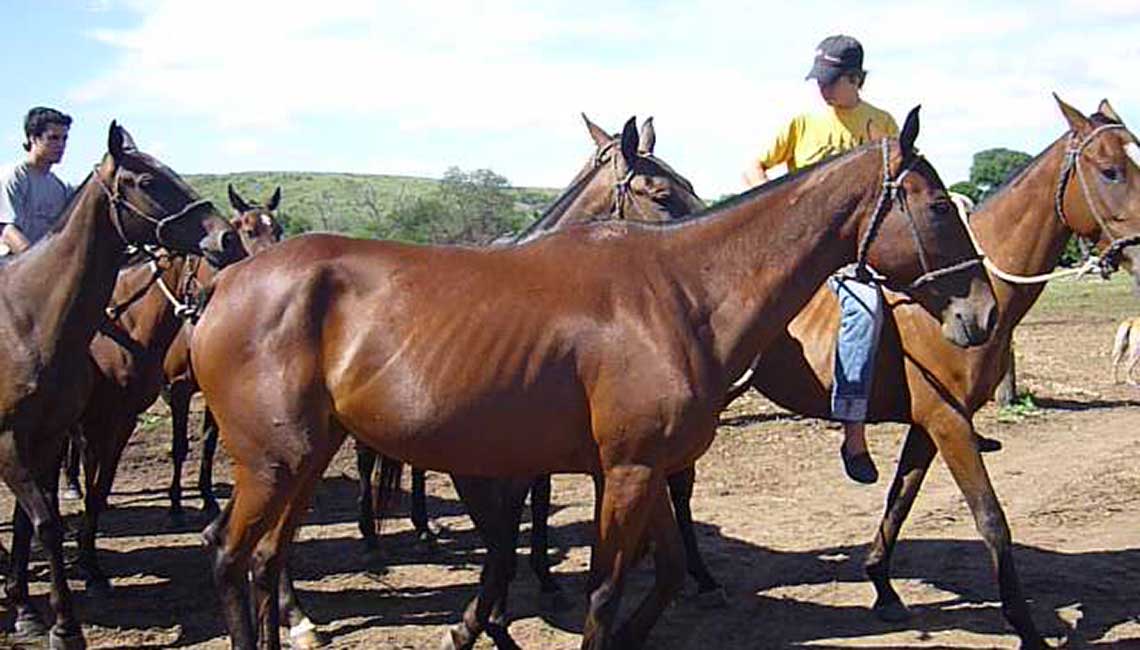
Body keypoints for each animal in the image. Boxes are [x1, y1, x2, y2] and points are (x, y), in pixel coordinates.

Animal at [0, 122, 240, 647]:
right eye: (147, 181)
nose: (227, 238)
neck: (30, 323)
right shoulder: (17, 440)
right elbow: (47, 522)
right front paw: (64, 624)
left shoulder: (67, 432)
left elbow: (57, 511)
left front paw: (35, 600)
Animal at [165, 182, 285, 515]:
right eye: (248, 230)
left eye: (279, 229)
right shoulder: (179, 389)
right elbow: (180, 446)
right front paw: (176, 504)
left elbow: (208, 441)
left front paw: (207, 496)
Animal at [189, 111, 998, 647]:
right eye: (935, 205)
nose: (981, 312)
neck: (683, 292)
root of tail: (223, 287)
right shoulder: (628, 471)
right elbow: (601, 590)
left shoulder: (642, 470)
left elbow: (659, 576)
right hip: (274, 462)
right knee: (229, 556)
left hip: (307, 457)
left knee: (264, 560)